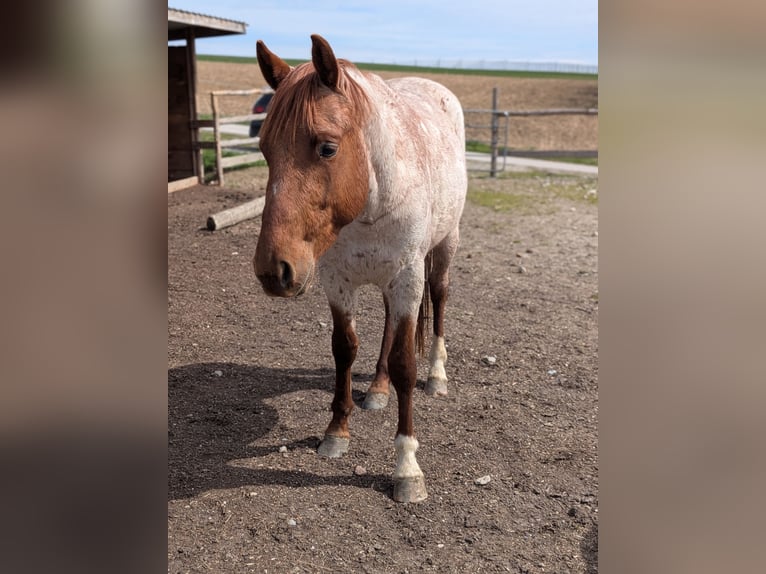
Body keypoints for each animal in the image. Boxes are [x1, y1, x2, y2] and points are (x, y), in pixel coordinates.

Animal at [253, 35, 467, 503]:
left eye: (327, 147)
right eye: (264, 149)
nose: (273, 270)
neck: (374, 197)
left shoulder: (407, 280)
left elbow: (405, 363)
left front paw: (407, 468)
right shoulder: (338, 281)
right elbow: (344, 350)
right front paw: (337, 431)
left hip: (444, 249)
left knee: (440, 301)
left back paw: (436, 375)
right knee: (387, 325)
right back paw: (378, 390)